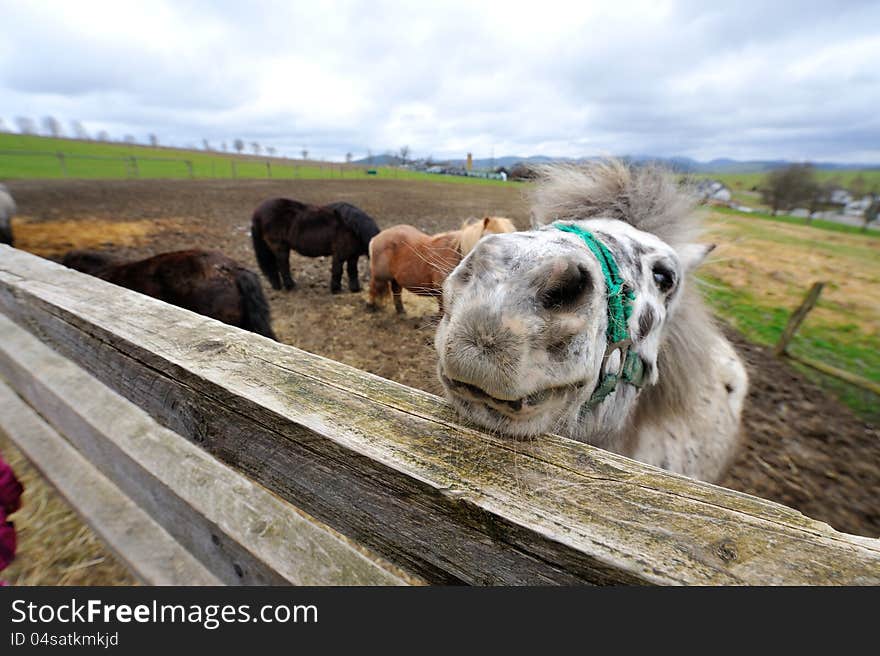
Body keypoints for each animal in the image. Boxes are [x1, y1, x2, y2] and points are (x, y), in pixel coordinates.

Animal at [251, 197, 382, 294]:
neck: (353, 228)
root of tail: (258, 212)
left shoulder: (353, 256)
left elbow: (352, 272)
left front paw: (355, 289)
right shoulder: (339, 254)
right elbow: (337, 271)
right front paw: (336, 290)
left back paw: (278, 286)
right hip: (280, 247)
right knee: (282, 265)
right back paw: (290, 286)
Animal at [366, 217, 516, 314]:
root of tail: (377, 237)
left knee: (396, 291)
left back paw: (401, 311)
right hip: (379, 276)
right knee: (373, 288)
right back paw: (370, 307)